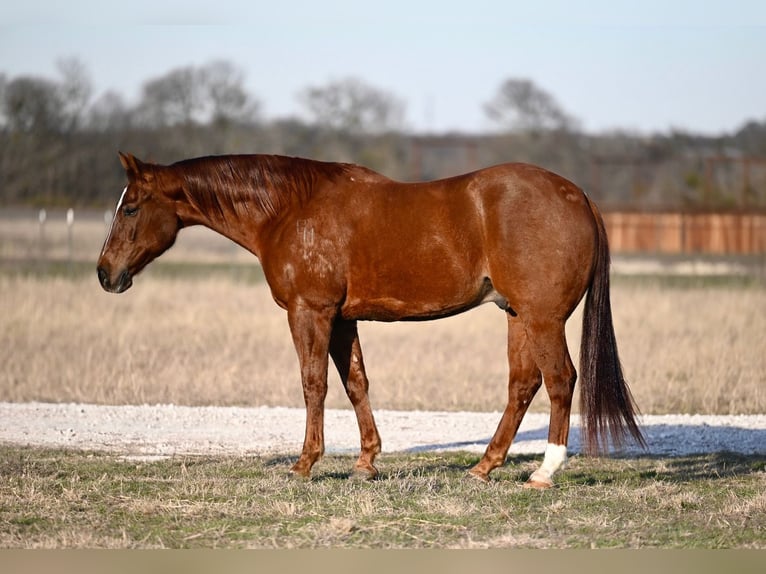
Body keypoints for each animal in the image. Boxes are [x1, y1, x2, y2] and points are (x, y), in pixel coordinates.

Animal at [99, 151, 644, 488]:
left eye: (130, 208)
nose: (105, 273)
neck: (289, 211)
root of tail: (578, 196)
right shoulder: (342, 319)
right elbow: (355, 382)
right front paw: (366, 462)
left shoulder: (310, 312)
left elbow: (314, 384)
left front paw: (304, 464)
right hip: (517, 317)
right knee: (522, 384)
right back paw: (484, 467)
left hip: (543, 319)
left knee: (560, 380)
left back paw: (543, 473)